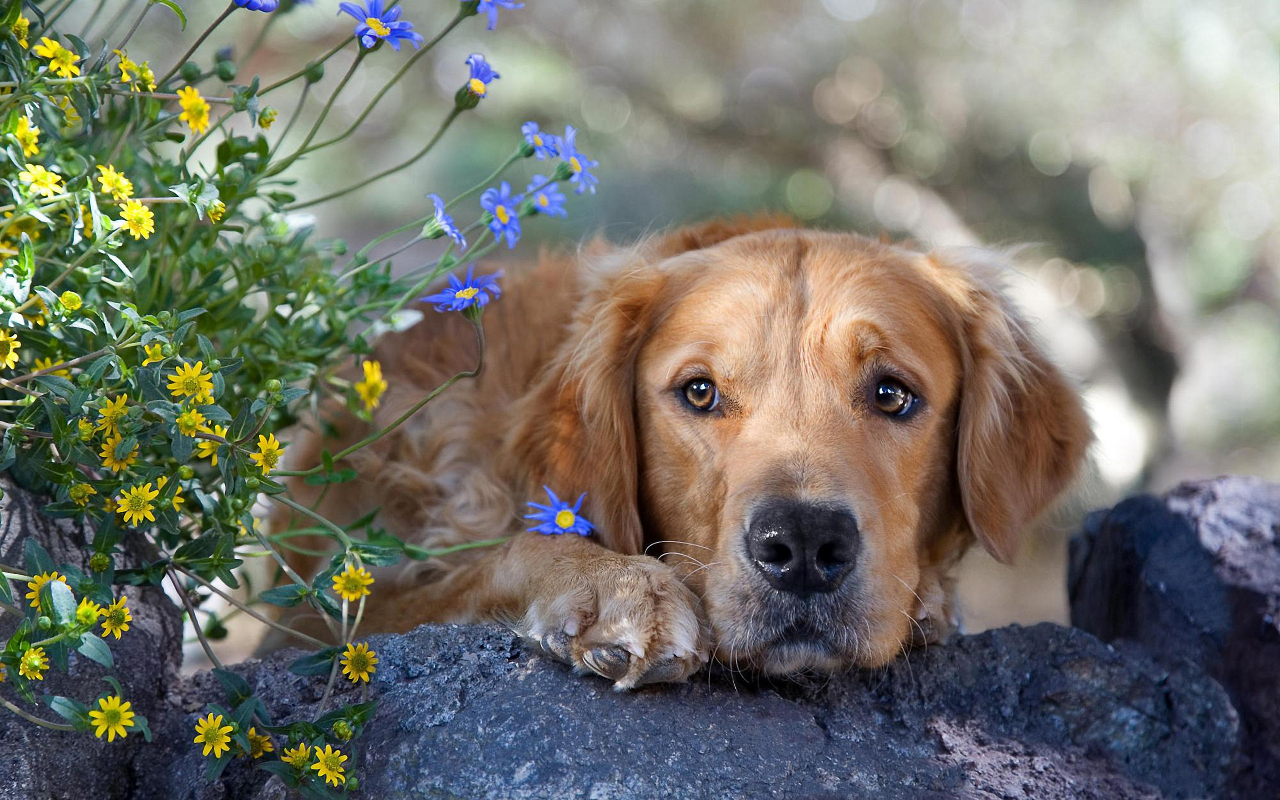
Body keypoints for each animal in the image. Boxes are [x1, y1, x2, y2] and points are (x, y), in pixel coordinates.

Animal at [282, 216, 1090, 686]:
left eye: (892, 394)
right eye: (700, 392)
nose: (803, 545)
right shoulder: (330, 617)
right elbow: (502, 555)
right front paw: (612, 586)